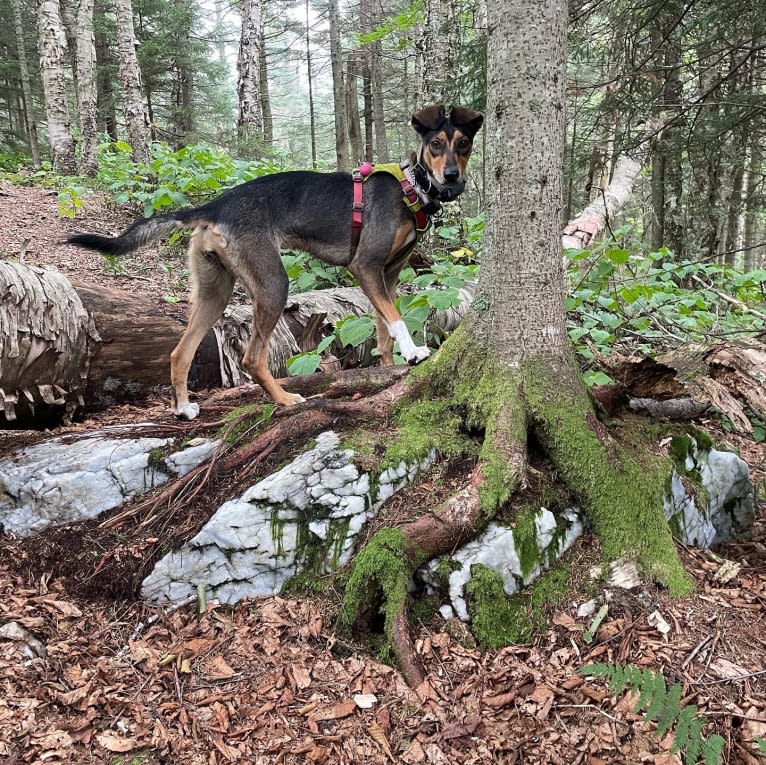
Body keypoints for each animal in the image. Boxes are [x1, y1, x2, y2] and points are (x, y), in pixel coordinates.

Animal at [69, 103, 484, 418]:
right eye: (435, 145)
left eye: (464, 144)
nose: (452, 177)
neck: (411, 187)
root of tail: (214, 206)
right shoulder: (365, 267)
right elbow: (395, 319)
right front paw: (413, 351)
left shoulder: (390, 274)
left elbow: (383, 333)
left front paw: (391, 366)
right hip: (272, 283)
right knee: (253, 359)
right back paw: (284, 399)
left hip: (214, 291)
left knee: (179, 352)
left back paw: (184, 408)